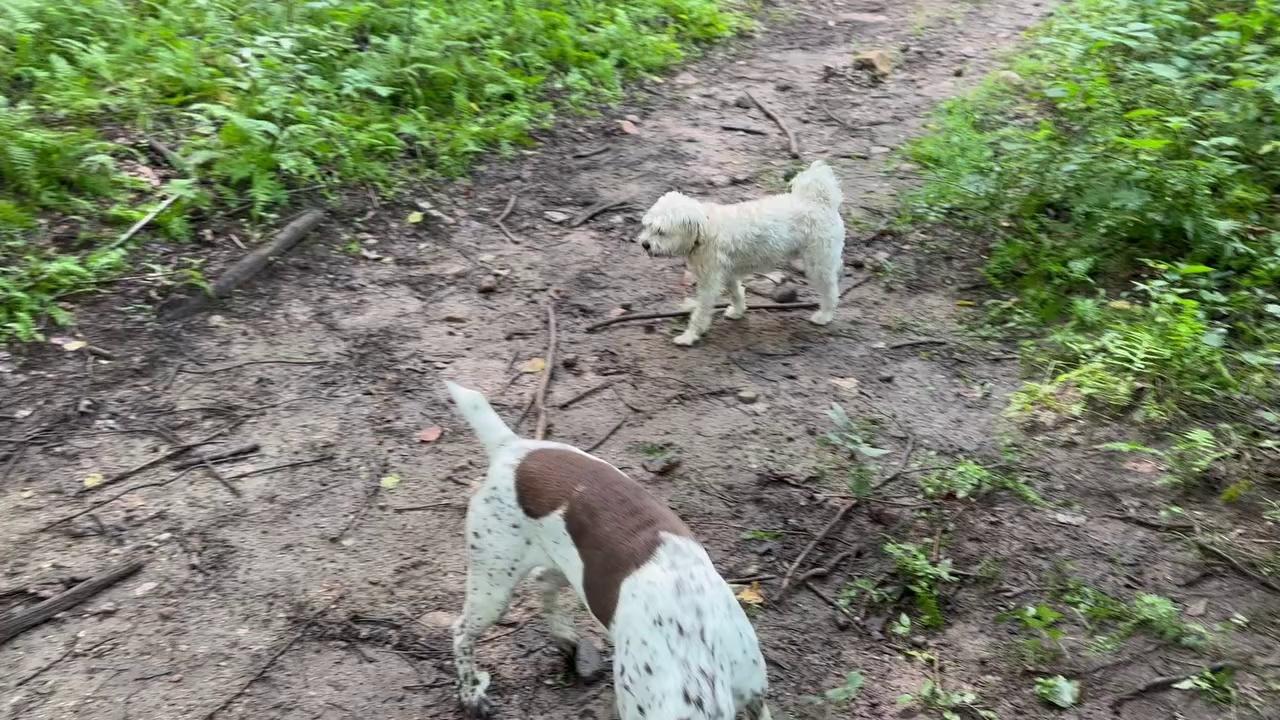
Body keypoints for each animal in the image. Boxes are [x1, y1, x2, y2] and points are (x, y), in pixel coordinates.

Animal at [448, 379, 768, 712]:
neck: (692, 649)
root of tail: (508, 445)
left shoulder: (755, 697)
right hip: (493, 588)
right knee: (461, 633)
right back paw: (471, 694)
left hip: (573, 570)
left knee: (543, 581)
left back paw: (563, 635)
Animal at [637, 159, 839, 345]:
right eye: (647, 226)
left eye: (661, 231)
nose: (645, 244)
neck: (705, 230)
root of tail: (819, 201)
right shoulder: (728, 273)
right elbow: (736, 293)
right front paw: (738, 311)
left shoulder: (710, 282)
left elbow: (700, 311)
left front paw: (689, 336)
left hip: (819, 262)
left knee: (830, 289)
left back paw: (824, 315)